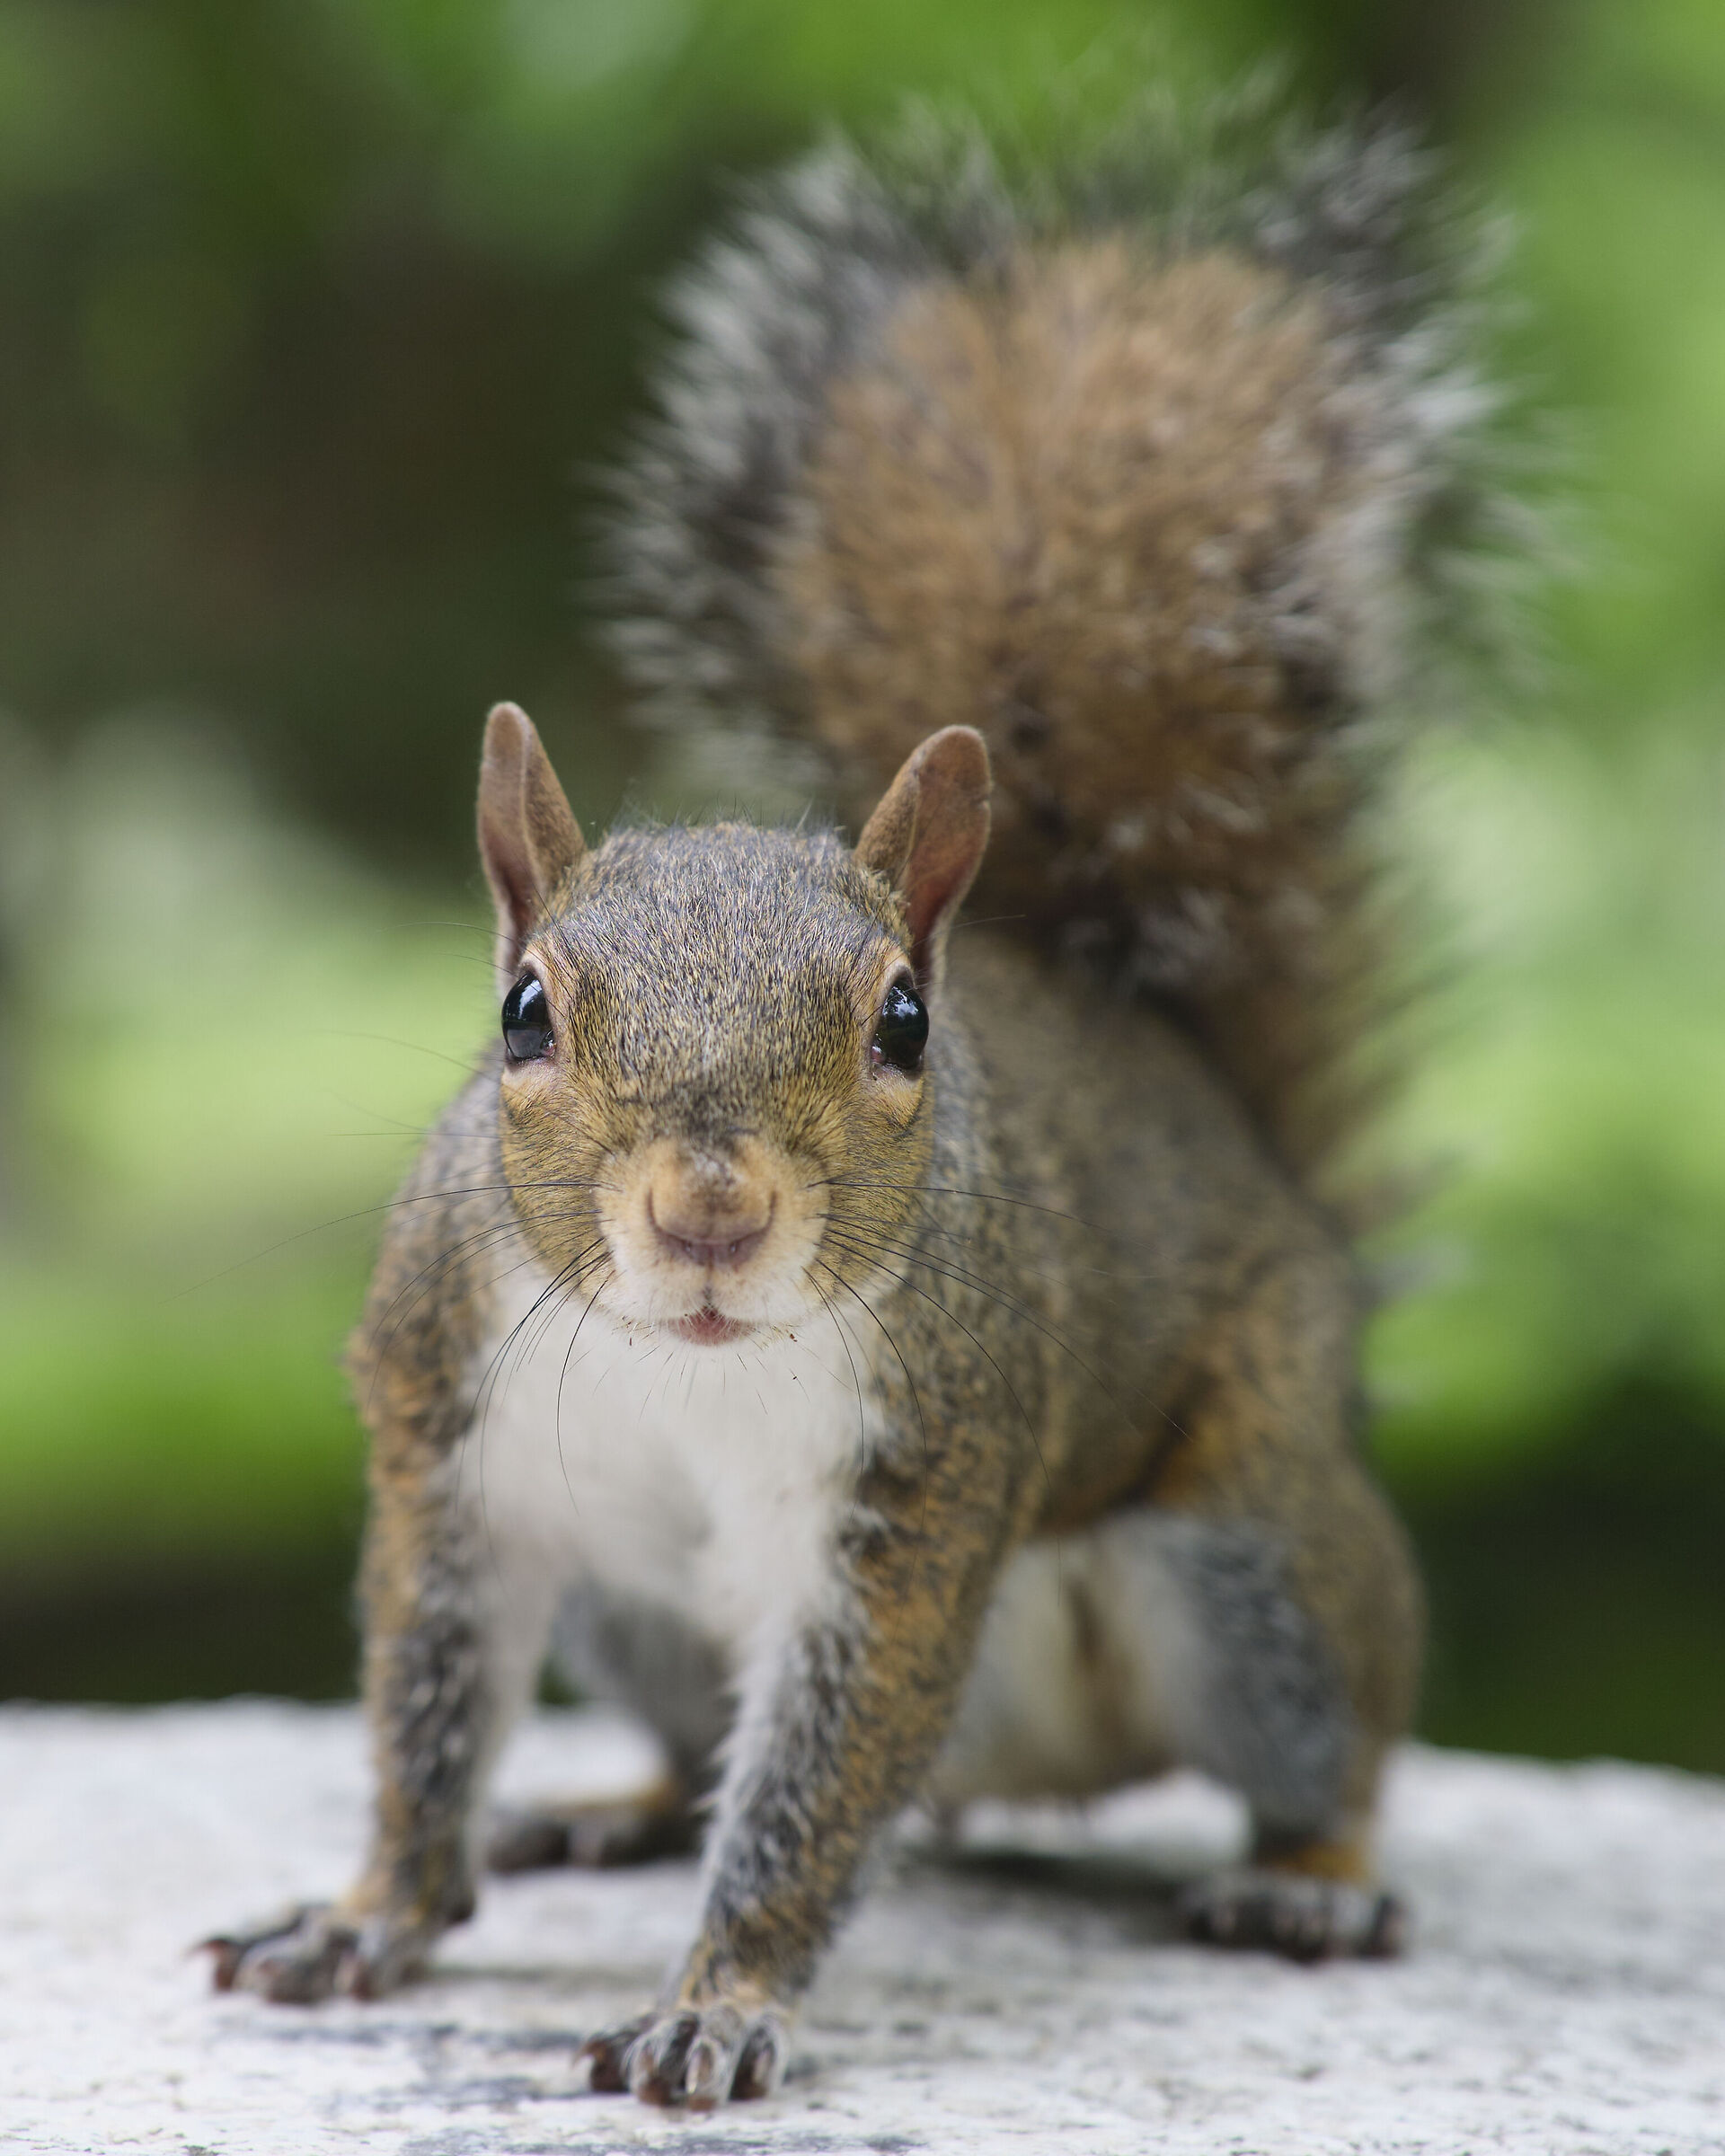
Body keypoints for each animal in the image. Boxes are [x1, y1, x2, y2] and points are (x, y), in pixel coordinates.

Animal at [206, 99, 1507, 2109]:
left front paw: (720, 2002)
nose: (710, 1213)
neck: (695, 1363)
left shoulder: (919, 1497)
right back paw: (611, 1807)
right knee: (695, 1744)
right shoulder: (452, 1445)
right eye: (522, 1012)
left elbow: (819, 1781)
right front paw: (365, 1915)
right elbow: (422, 1706)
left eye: (902, 1024)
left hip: (1247, 1549)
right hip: (640, 1614)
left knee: (1339, 1720)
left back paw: (1315, 1877)